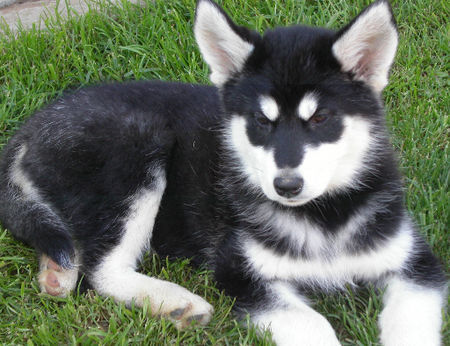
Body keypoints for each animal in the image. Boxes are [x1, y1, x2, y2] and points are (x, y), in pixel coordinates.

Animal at [0, 0, 444, 344]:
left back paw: (57, 273)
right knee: (104, 269)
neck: (322, 217)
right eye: (261, 122)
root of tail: (32, 125)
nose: (286, 186)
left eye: (320, 119)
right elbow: (311, 323)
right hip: (138, 148)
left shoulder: (416, 265)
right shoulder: (240, 272)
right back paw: (173, 302)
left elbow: (412, 323)